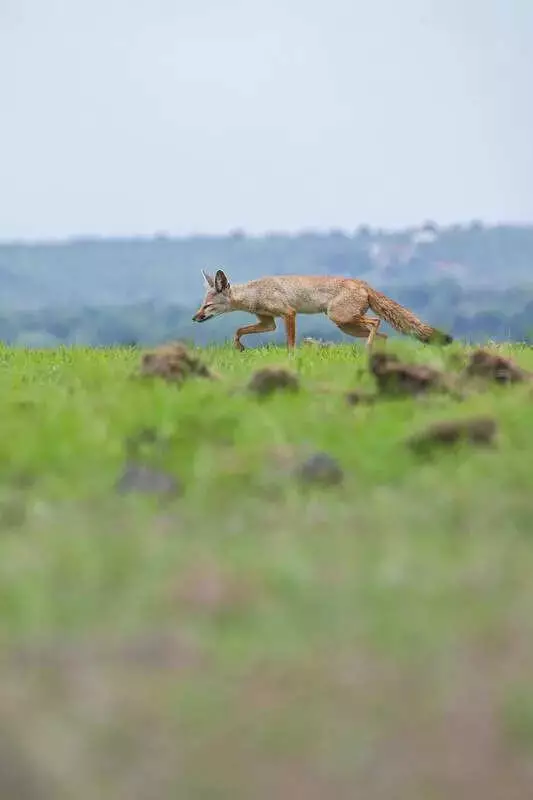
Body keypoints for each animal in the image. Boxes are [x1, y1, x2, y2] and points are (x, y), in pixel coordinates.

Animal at [192, 269, 453, 352]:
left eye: (207, 306)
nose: (195, 317)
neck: (255, 292)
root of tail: (362, 282)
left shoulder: (288, 314)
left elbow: (290, 344)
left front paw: (291, 359)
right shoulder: (268, 323)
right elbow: (238, 330)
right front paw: (239, 346)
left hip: (342, 319)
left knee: (376, 324)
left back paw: (368, 349)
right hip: (346, 326)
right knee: (384, 335)